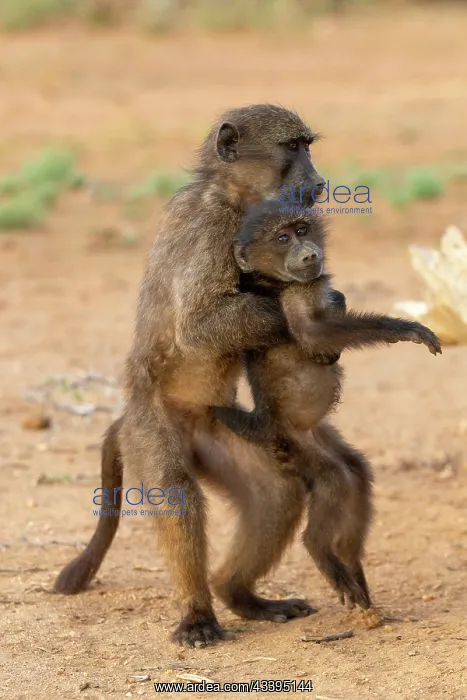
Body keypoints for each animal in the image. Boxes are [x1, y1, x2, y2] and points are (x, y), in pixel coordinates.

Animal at [55, 105, 334, 647]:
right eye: (292, 147)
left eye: (308, 146)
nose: (317, 181)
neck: (232, 195)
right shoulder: (208, 231)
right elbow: (200, 325)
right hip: (150, 428)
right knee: (176, 493)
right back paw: (199, 615)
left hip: (214, 426)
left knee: (276, 493)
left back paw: (241, 596)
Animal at [212, 200, 441, 608]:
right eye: (282, 238)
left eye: (302, 230)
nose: (309, 253)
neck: (277, 281)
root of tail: (263, 421)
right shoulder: (291, 298)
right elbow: (312, 336)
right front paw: (406, 329)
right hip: (291, 442)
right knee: (335, 479)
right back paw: (320, 551)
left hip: (317, 434)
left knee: (356, 470)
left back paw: (352, 566)